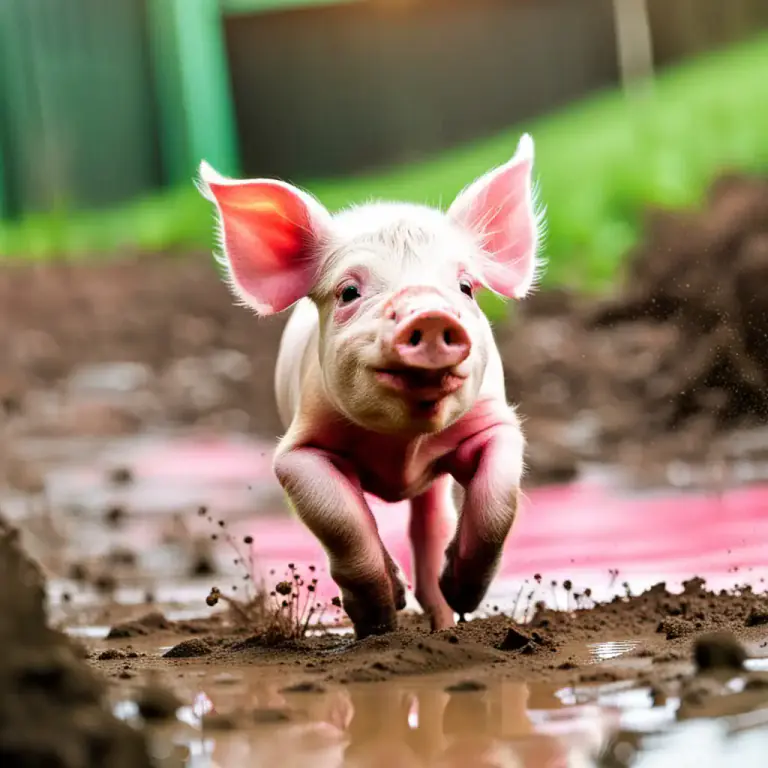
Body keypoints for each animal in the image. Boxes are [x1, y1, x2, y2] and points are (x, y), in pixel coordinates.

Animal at [197, 133, 545, 639]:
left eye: (465, 287)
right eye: (348, 292)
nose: (429, 313)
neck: (401, 450)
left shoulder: (495, 425)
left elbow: (497, 502)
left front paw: (463, 600)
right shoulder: (299, 453)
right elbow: (342, 520)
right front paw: (378, 621)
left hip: (431, 491)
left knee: (428, 527)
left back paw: (445, 620)